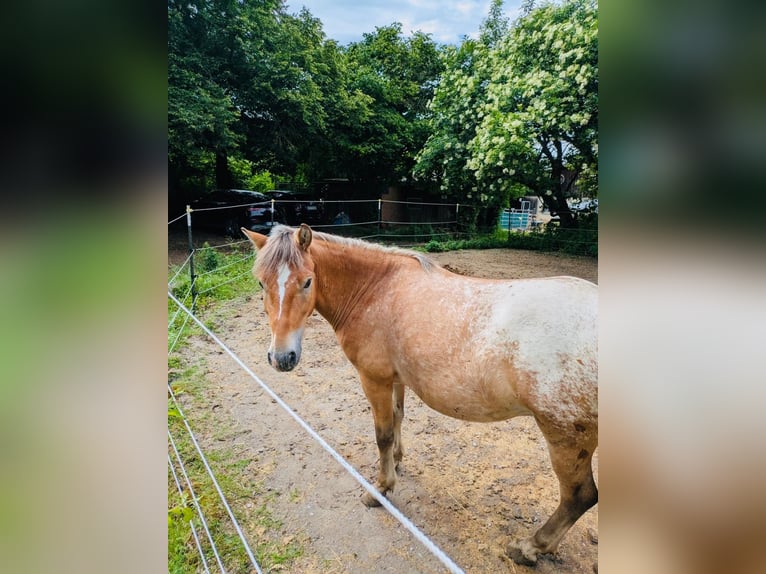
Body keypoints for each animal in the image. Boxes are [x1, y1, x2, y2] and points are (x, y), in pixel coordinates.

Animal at [242, 224, 597, 566]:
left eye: (307, 281)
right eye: (260, 283)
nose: (282, 358)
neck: (375, 290)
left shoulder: (374, 379)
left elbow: (383, 434)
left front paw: (381, 489)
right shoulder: (396, 379)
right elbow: (398, 418)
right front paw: (398, 461)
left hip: (566, 436)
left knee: (579, 496)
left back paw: (529, 548)